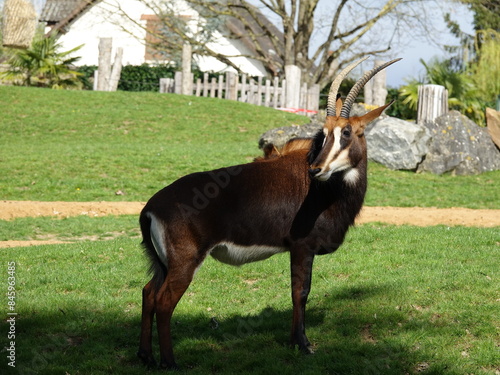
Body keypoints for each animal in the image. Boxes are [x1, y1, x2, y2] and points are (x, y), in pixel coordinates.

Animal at [138, 56, 402, 370]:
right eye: (324, 134)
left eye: (346, 132)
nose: (316, 170)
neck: (327, 191)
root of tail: (150, 208)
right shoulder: (302, 246)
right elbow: (300, 292)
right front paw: (303, 344)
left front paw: (293, 342)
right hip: (184, 263)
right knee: (164, 302)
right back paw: (170, 362)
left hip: (162, 264)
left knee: (148, 293)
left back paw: (146, 357)